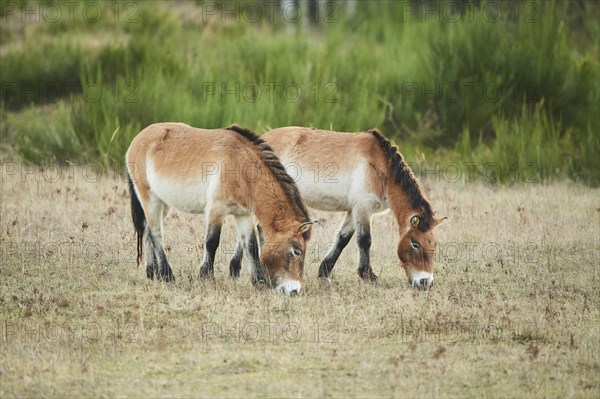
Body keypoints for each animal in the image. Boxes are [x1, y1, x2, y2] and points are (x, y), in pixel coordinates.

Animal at [125, 123, 314, 296]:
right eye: (297, 251)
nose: (294, 290)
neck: (241, 166)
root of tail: (138, 139)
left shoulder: (244, 215)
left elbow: (251, 246)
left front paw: (259, 282)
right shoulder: (216, 210)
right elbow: (212, 242)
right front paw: (206, 277)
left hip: (163, 204)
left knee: (147, 232)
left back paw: (151, 273)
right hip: (150, 200)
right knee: (155, 234)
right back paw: (167, 275)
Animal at [260, 126, 442, 290]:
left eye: (434, 244)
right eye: (415, 244)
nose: (426, 283)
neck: (381, 166)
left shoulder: (352, 211)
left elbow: (342, 239)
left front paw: (324, 275)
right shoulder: (363, 208)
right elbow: (364, 240)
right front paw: (369, 276)